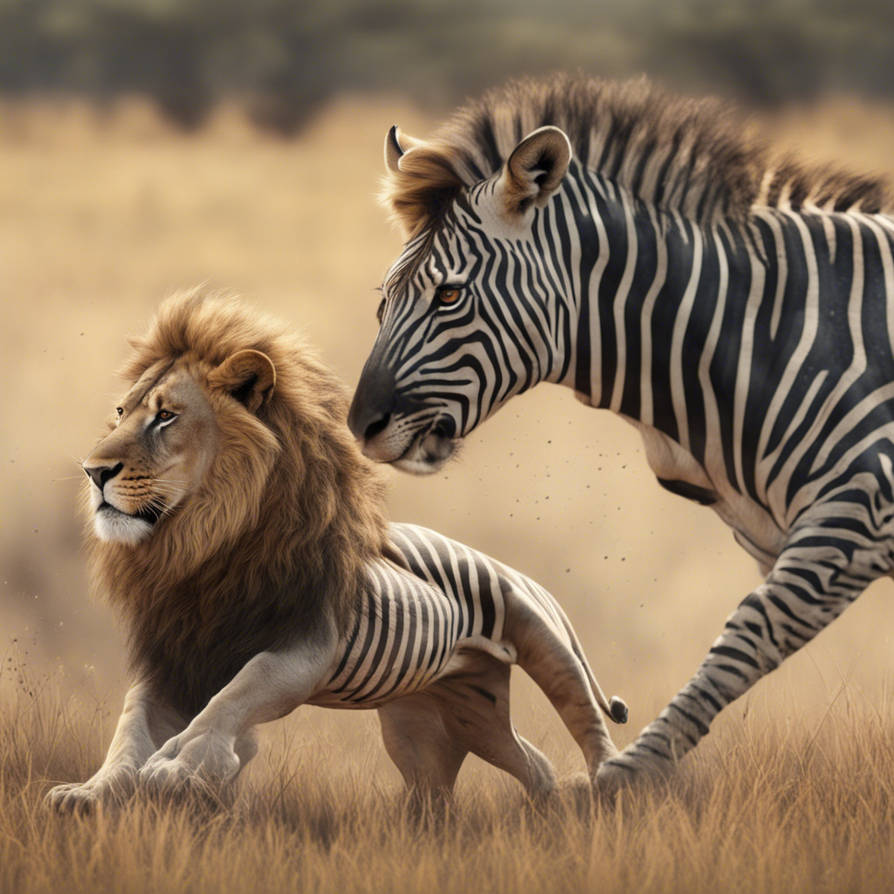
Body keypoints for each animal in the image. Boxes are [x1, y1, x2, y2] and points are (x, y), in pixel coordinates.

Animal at [46, 288, 626, 811]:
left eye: (165, 416)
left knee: (589, 727)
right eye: (120, 411)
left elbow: (235, 694)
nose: (93, 471)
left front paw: (178, 765)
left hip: (548, 646)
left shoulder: (304, 643)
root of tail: (505, 565)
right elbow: (130, 725)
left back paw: (608, 787)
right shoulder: (174, 653)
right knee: (521, 765)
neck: (198, 546)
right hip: (444, 714)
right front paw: (93, 791)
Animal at [346, 74, 894, 791]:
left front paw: (626, 778)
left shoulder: (857, 510)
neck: (769, 336)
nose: (360, 426)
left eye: (449, 296)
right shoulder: (780, 536)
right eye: (384, 299)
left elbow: (747, 635)